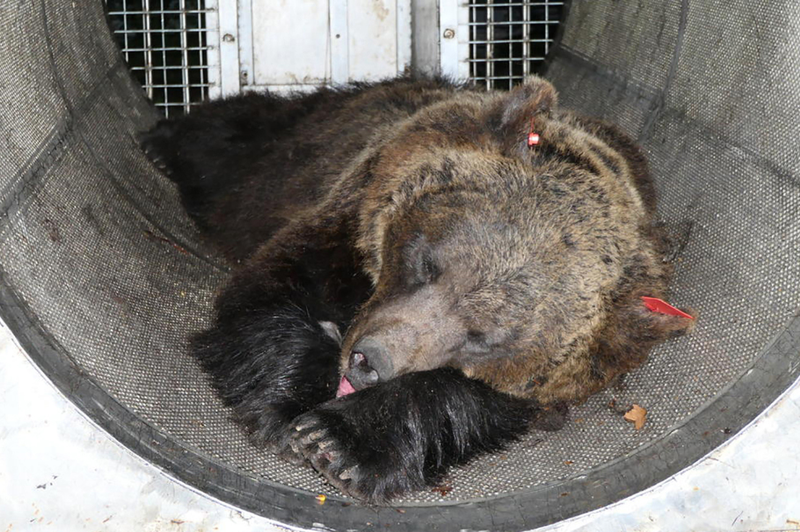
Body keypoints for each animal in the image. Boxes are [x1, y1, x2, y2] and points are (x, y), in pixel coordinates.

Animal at [142, 75, 692, 502]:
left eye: (481, 337)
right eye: (429, 263)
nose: (369, 360)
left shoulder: (571, 367)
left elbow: (464, 399)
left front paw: (335, 440)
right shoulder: (343, 217)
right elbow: (272, 292)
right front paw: (288, 404)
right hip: (292, 150)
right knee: (237, 139)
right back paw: (163, 141)